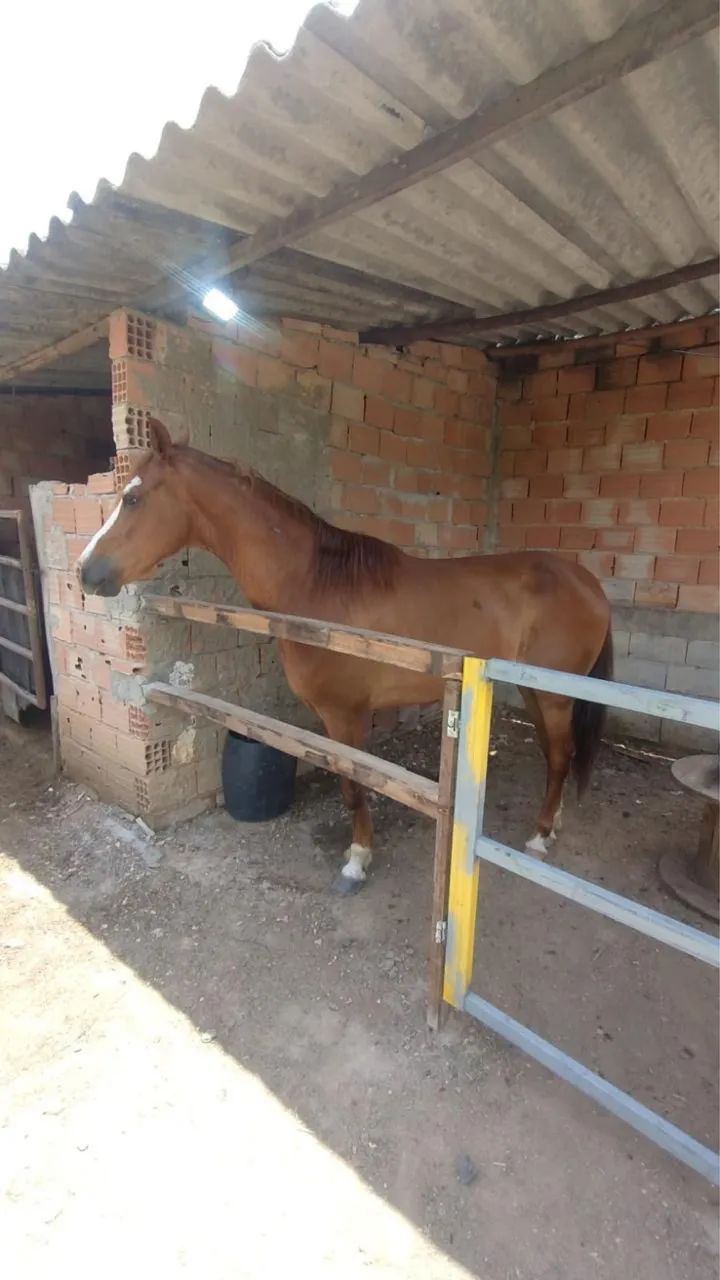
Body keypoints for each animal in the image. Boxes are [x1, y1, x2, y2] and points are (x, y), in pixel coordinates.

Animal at [78, 418, 613, 892]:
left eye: (132, 498)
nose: (86, 571)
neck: (315, 586)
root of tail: (586, 581)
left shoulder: (345, 714)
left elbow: (354, 788)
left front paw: (357, 861)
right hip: (535, 691)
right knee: (556, 754)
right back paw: (552, 823)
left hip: (553, 697)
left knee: (560, 755)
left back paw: (540, 837)